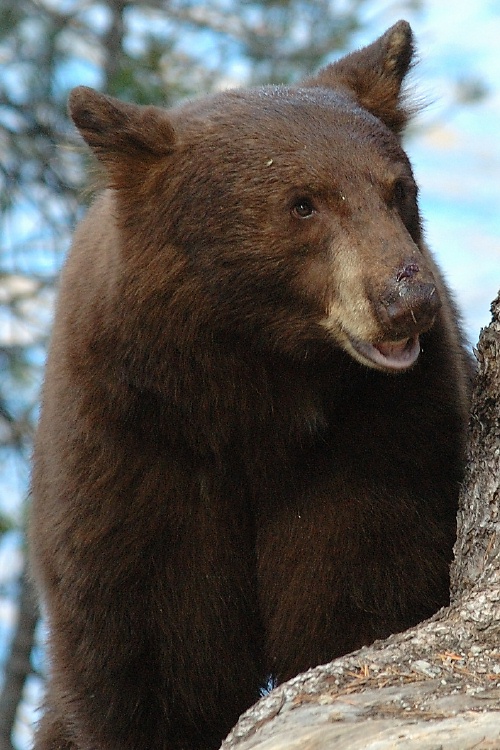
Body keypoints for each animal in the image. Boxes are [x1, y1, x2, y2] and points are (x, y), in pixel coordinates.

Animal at [31, 20, 472, 750]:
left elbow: (360, 577)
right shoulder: (134, 439)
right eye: (302, 204)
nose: (406, 303)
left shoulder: (375, 428)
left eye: (396, 189)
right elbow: (149, 641)